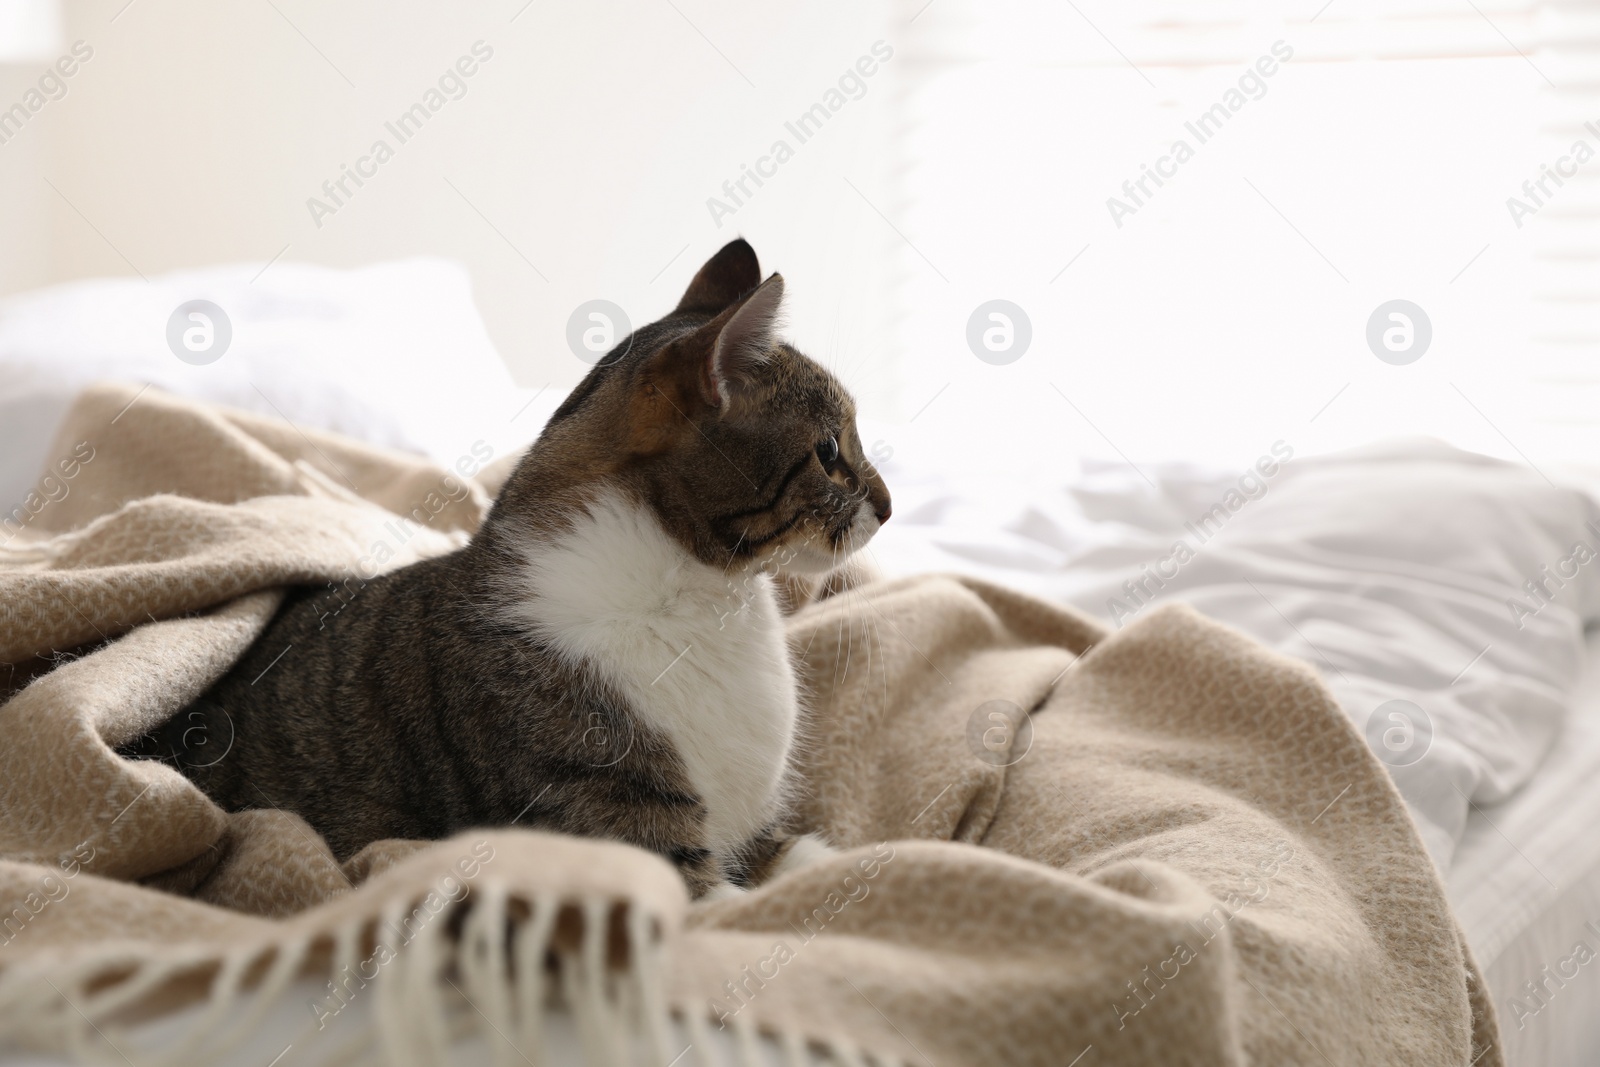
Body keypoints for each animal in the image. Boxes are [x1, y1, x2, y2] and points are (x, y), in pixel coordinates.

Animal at [128, 241, 889, 902]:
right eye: (829, 451)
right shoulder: (626, 830)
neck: (707, 601)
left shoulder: (752, 829)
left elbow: (814, 859)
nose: (886, 504)